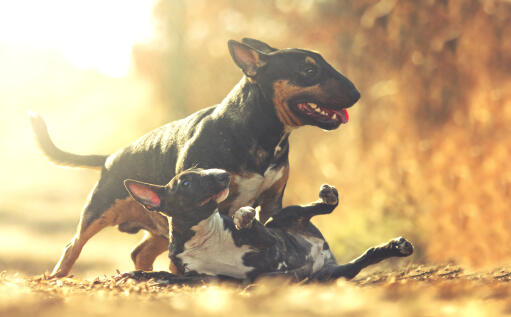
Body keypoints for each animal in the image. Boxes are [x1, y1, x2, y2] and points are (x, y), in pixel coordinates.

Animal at [30, 39, 362, 276]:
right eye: (309, 71)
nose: (357, 94)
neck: (259, 133)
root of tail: (110, 157)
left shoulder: (271, 201)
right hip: (100, 211)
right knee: (73, 246)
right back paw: (58, 277)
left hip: (163, 222)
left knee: (140, 253)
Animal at [125, 168, 416, 282]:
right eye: (185, 182)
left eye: (206, 168)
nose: (223, 174)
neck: (203, 233)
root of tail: (323, 251)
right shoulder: (199, 276)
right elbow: (170, 276)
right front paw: (141, 275)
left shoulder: (268, 238)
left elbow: (249, 225)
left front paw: (244, 216)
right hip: (332, 274)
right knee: (366, 258)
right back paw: (394, 248)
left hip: (283, 217)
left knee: (318, 208)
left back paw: (329, 196)